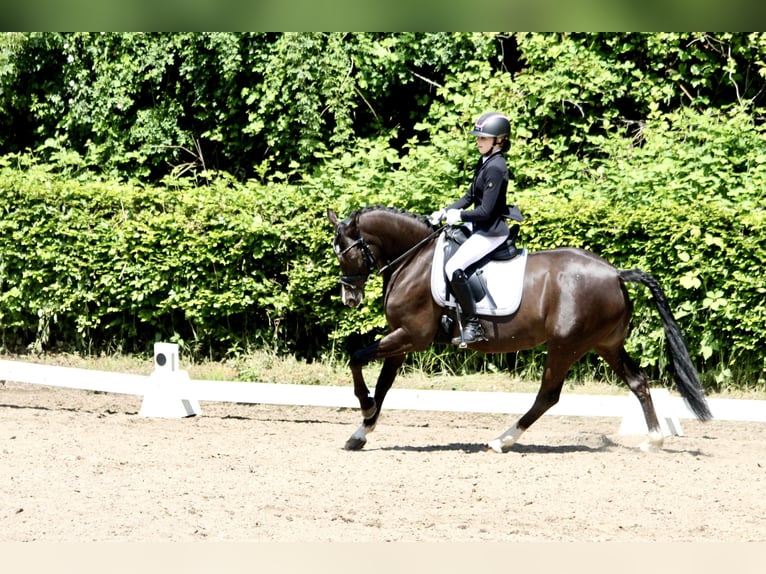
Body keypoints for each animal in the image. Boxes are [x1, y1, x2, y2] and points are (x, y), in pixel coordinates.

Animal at [327, 206, 712, 453]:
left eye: (346, 253)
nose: (349, 297)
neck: (414, 259)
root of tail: (615, 273)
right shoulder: (403, 339)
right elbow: (383, 384)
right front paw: (361, 432)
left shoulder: (411, 336)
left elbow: (356, 358)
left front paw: (364, 409)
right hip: (607, 345)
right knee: (638, 382)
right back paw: (653, 440)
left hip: (566, 346)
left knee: (548, 396)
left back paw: (502, 440)